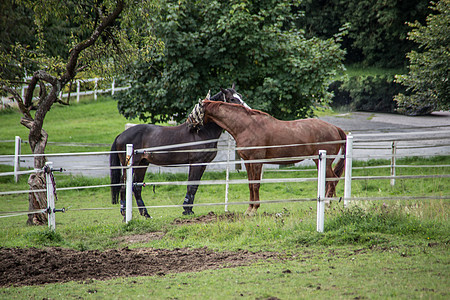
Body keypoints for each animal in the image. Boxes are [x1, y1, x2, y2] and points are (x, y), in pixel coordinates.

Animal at [110, 86, 248, 218]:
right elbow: (191, 185)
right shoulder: (195, 163)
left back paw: (146, 214)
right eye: (232, 99)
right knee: (124, 186)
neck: (200, 131)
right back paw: (124, 213)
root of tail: (121, 135)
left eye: (240, 96)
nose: (247, 110)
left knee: (136, 187)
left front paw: (188, 209)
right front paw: (187, 210)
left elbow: (195, 186)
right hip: (130, 165)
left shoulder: (203, 164)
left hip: (142, 164)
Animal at [193, 101, 348, 216]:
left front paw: (254, 209)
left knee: (333, 179)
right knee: (329, 180)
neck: (247, 126)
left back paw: (327, 203)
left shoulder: (256, 161)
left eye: (195, 110)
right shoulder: (248, 162)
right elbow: (250, 184)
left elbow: (256, 184)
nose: (190, 123)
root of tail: (335, 128)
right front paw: (249, 209)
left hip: (324, 162)